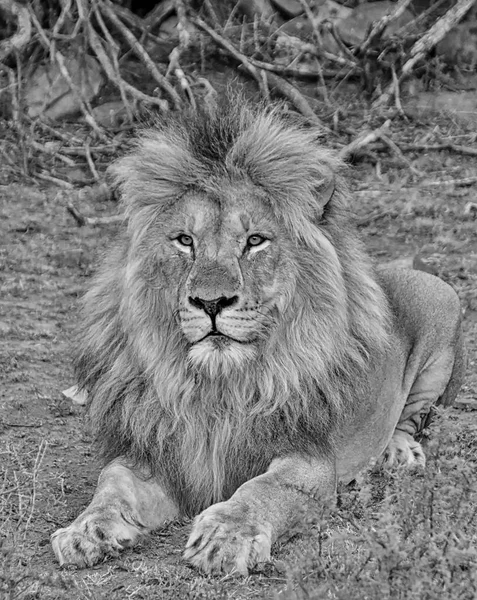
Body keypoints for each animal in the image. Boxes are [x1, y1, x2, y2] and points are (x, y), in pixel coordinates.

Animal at [50, 101, 462, 576]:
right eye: (185, 241)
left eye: (255, 241)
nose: (211, 302)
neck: (217, 386)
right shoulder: (155, 456)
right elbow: (110, 484)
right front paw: (84, 530)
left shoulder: (308, 458)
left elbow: (263, 490)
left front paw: (226, 536)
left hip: (445, 310)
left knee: (414, 417)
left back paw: (398, 454)